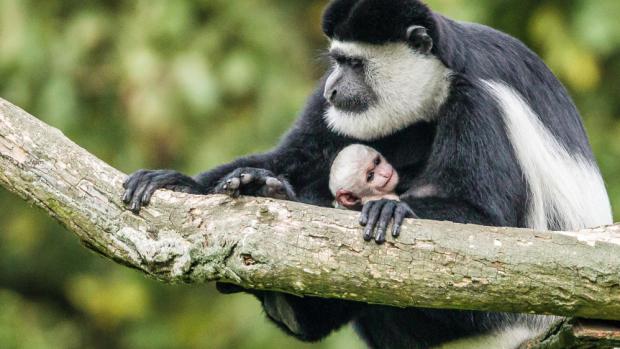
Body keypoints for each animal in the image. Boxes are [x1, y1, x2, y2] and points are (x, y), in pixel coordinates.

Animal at [121, 1, 612, 346]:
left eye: (355, 63)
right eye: (337, 61)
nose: (332, 88)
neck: (440, 81)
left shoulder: (480, 100)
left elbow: (492, 227)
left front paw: (392, 210)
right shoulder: (336, 113)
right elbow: (291, 155)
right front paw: (183, 181)